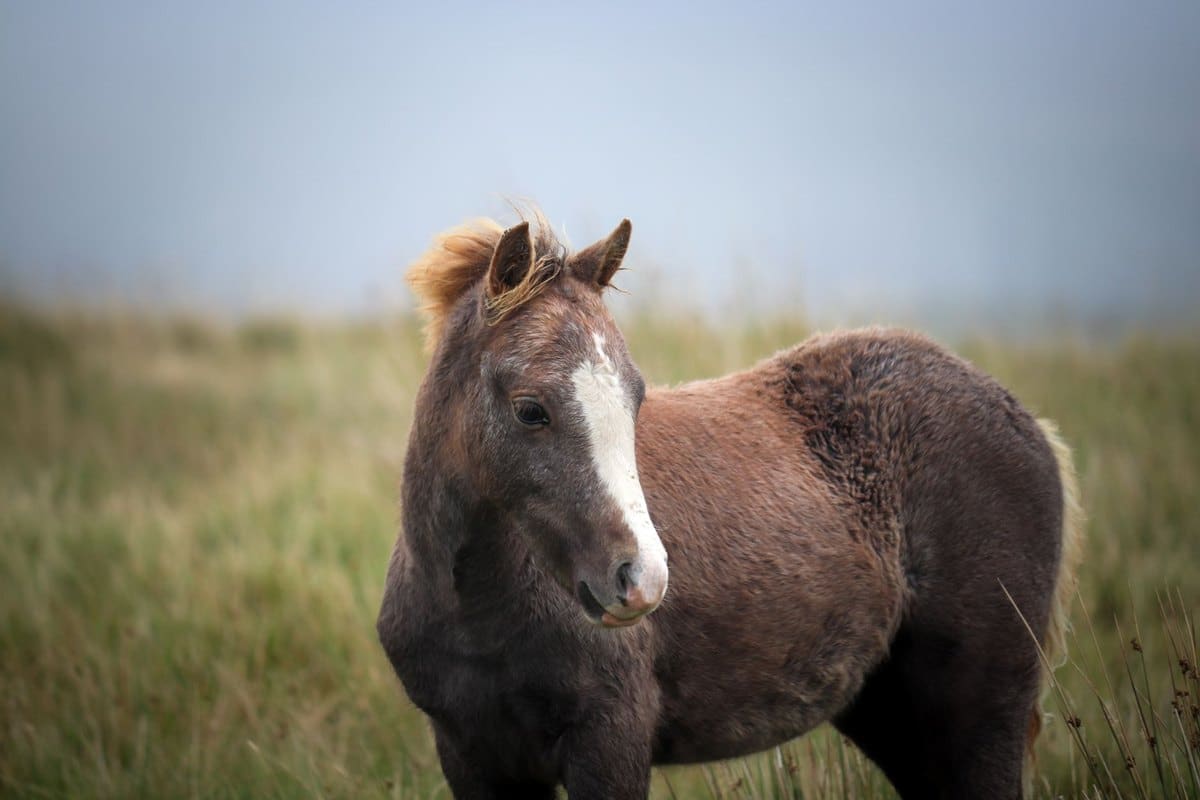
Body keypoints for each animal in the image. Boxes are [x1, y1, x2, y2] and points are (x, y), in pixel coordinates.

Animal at [376, 210, 1084, 799]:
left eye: (635, 397)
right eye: (531, 410)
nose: (641, 580)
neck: (477, 613)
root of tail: (1029, 424)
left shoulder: (610, 739)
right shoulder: (471, 755)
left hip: (979, 715)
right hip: (891, 716)